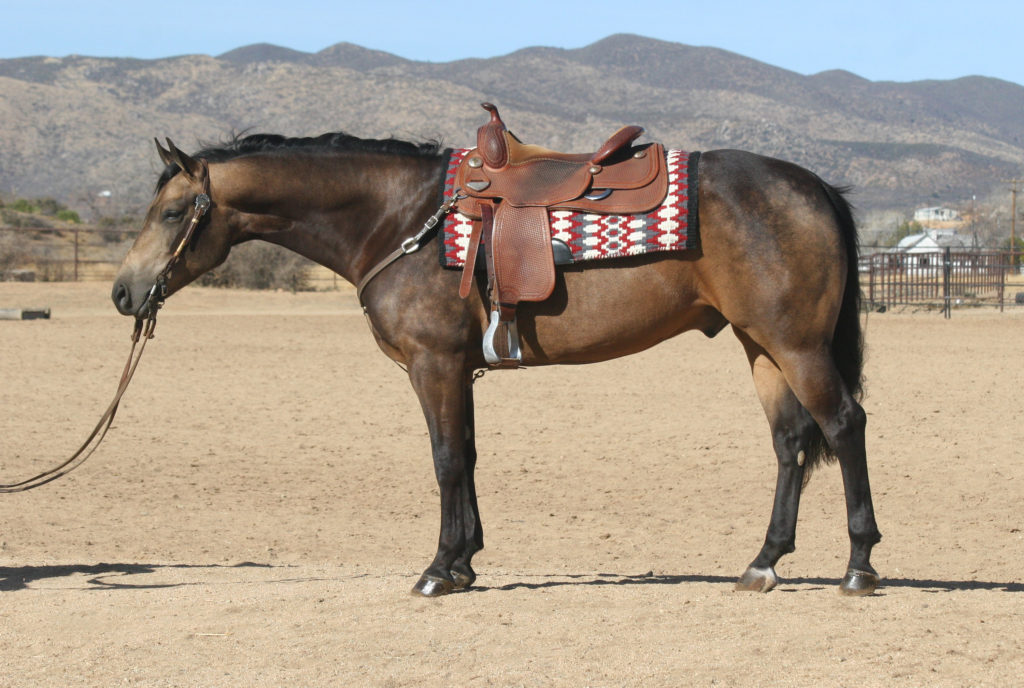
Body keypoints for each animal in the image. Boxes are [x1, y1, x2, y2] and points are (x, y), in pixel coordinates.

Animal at [111, 130, 882, 597]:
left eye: (175, 212)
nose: (124, 292)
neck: (401, 220)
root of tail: (813, 186)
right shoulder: (458, 369)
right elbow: (469, 457)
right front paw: (466, 560)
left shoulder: (433, 365)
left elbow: (447, 458)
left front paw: (438, 569)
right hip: (762, 345)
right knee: (791, 442)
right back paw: (763, 562)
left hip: (796, 345)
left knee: (844, 425)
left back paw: (859, 564)